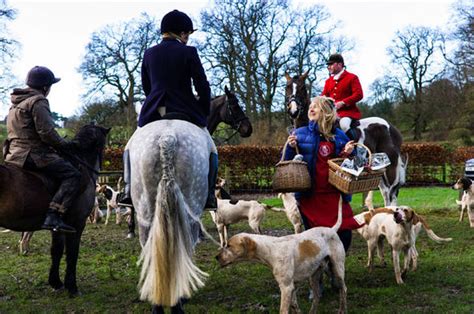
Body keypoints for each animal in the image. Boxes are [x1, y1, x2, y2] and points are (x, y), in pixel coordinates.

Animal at [0, 124, 110, 296]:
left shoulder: (58, 227)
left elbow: (56, 251)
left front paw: (56, 282)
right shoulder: (77, 224)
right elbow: (72, 253)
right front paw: (72, 287)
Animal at [217, 196, 346, 314]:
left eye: (229, 246)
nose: (216, 257)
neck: (271, 250)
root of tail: (332, 229)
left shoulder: (286, 287)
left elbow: (284, 310)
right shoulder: (291, 288)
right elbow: (294, 307)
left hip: (338, 269)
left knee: (343, 290)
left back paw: (342, 310)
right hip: (314, 275)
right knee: (317, 296)